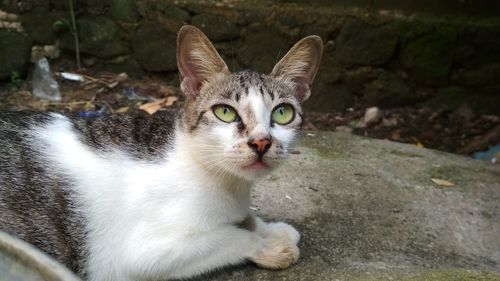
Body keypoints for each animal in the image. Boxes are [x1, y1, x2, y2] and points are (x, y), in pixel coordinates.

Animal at [0, 25, 322, 278]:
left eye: (282, 113)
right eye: (225, 112)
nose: (261, 142)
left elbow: (246, 219)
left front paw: (270, 229)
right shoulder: (140, 255)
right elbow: (230, 236)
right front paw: (267, 245)